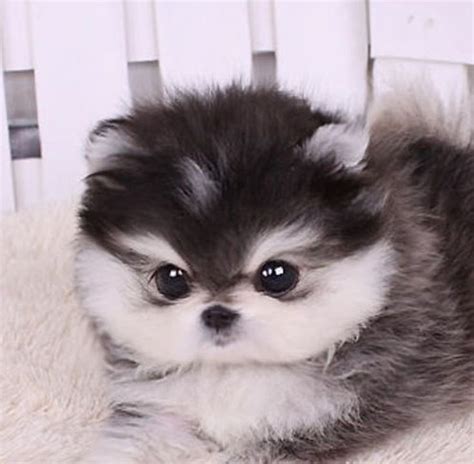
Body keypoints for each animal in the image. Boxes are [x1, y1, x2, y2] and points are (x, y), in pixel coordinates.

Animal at [75, 85, 474, 462]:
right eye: (170, 279)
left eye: (277, 275)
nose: (218, 313)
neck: (237, 369)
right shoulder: (158, 408)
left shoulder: (319, 420)